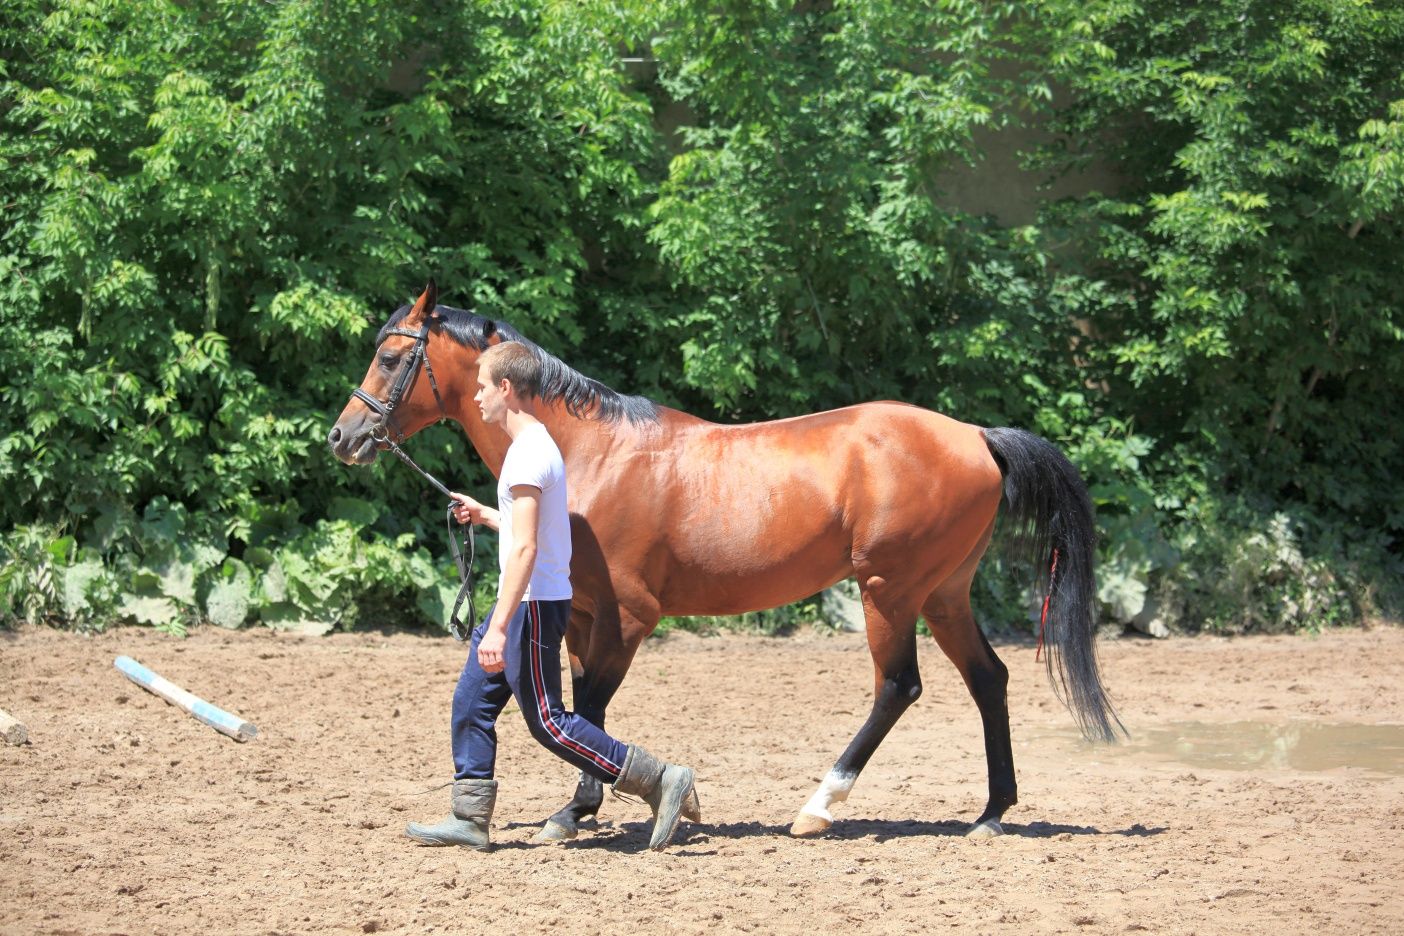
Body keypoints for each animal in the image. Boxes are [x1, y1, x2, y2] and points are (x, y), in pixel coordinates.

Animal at [325, 283, 1117, 841]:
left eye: (391, 358)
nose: (344, 436)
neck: (589, 455)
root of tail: (977, 436)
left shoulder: (629, 617)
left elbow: (589, 709)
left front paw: (580, 809)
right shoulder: (577, 614)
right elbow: (578, 706)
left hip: (889, 590)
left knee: (899, 687)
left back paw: (819, 807)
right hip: (943, 592)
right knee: (988, 679)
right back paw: (990, 813)